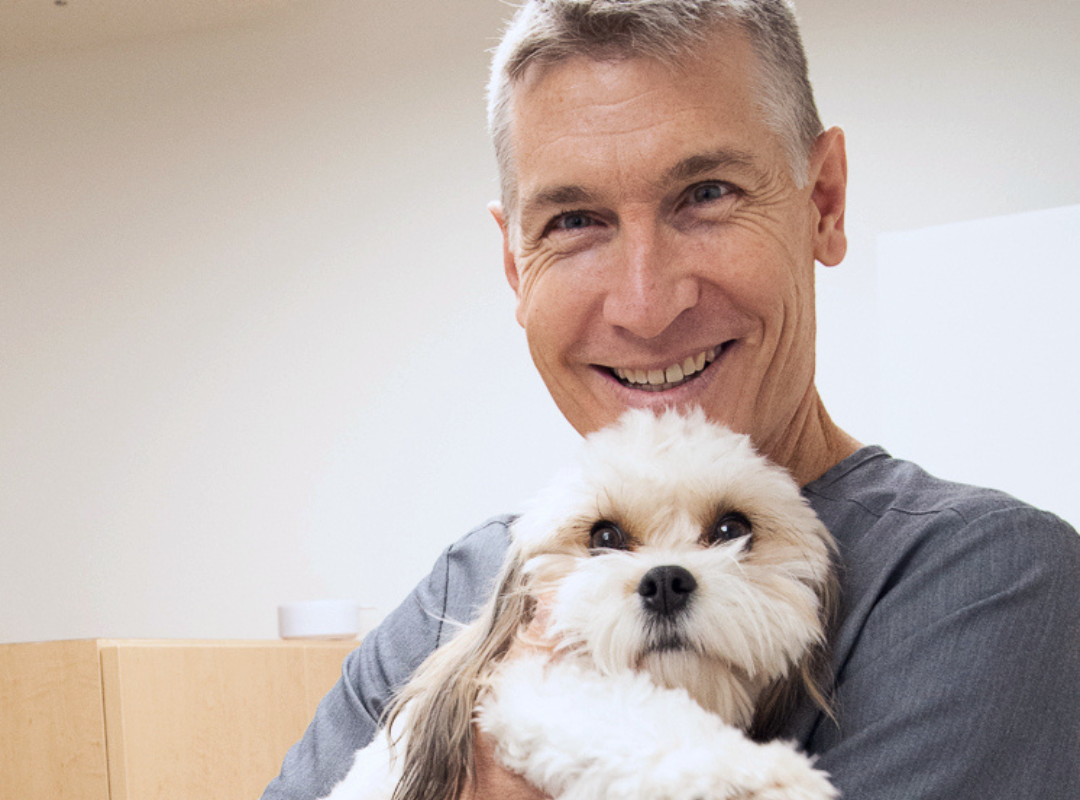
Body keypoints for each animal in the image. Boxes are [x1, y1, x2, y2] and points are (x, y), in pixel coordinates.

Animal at [324, 408, 838, 798]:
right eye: (604, 537)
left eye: (732, 529)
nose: (665, 581)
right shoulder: (536, 684)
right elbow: (638, 720)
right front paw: (756, 776)